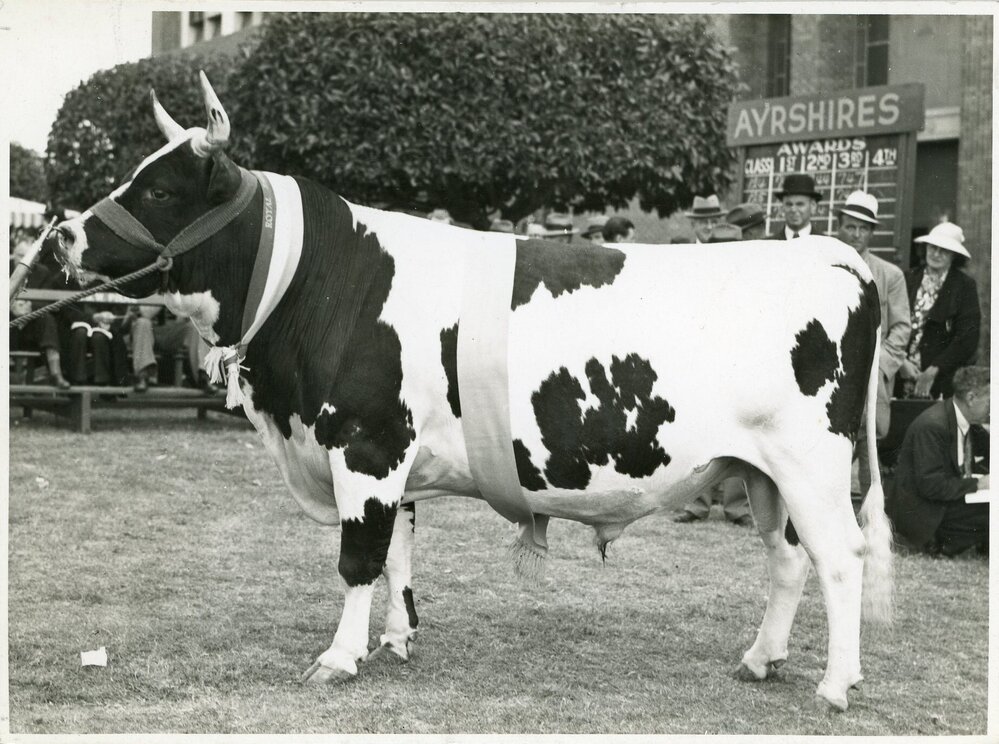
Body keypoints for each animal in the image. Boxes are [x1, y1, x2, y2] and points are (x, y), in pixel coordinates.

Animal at [49, 72, 893, 712]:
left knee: (839, 558)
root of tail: (833, 253)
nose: (63, 234)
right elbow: (396, 555)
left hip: (811, 464)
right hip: (757, 471)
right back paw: (759, 660)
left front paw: (338, 658)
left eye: (160, 190)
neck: (319, 280)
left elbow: (357, 559)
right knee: (786, 561)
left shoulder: (366, 441)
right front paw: (395, 640)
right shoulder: (389, 460)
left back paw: (834, 685)